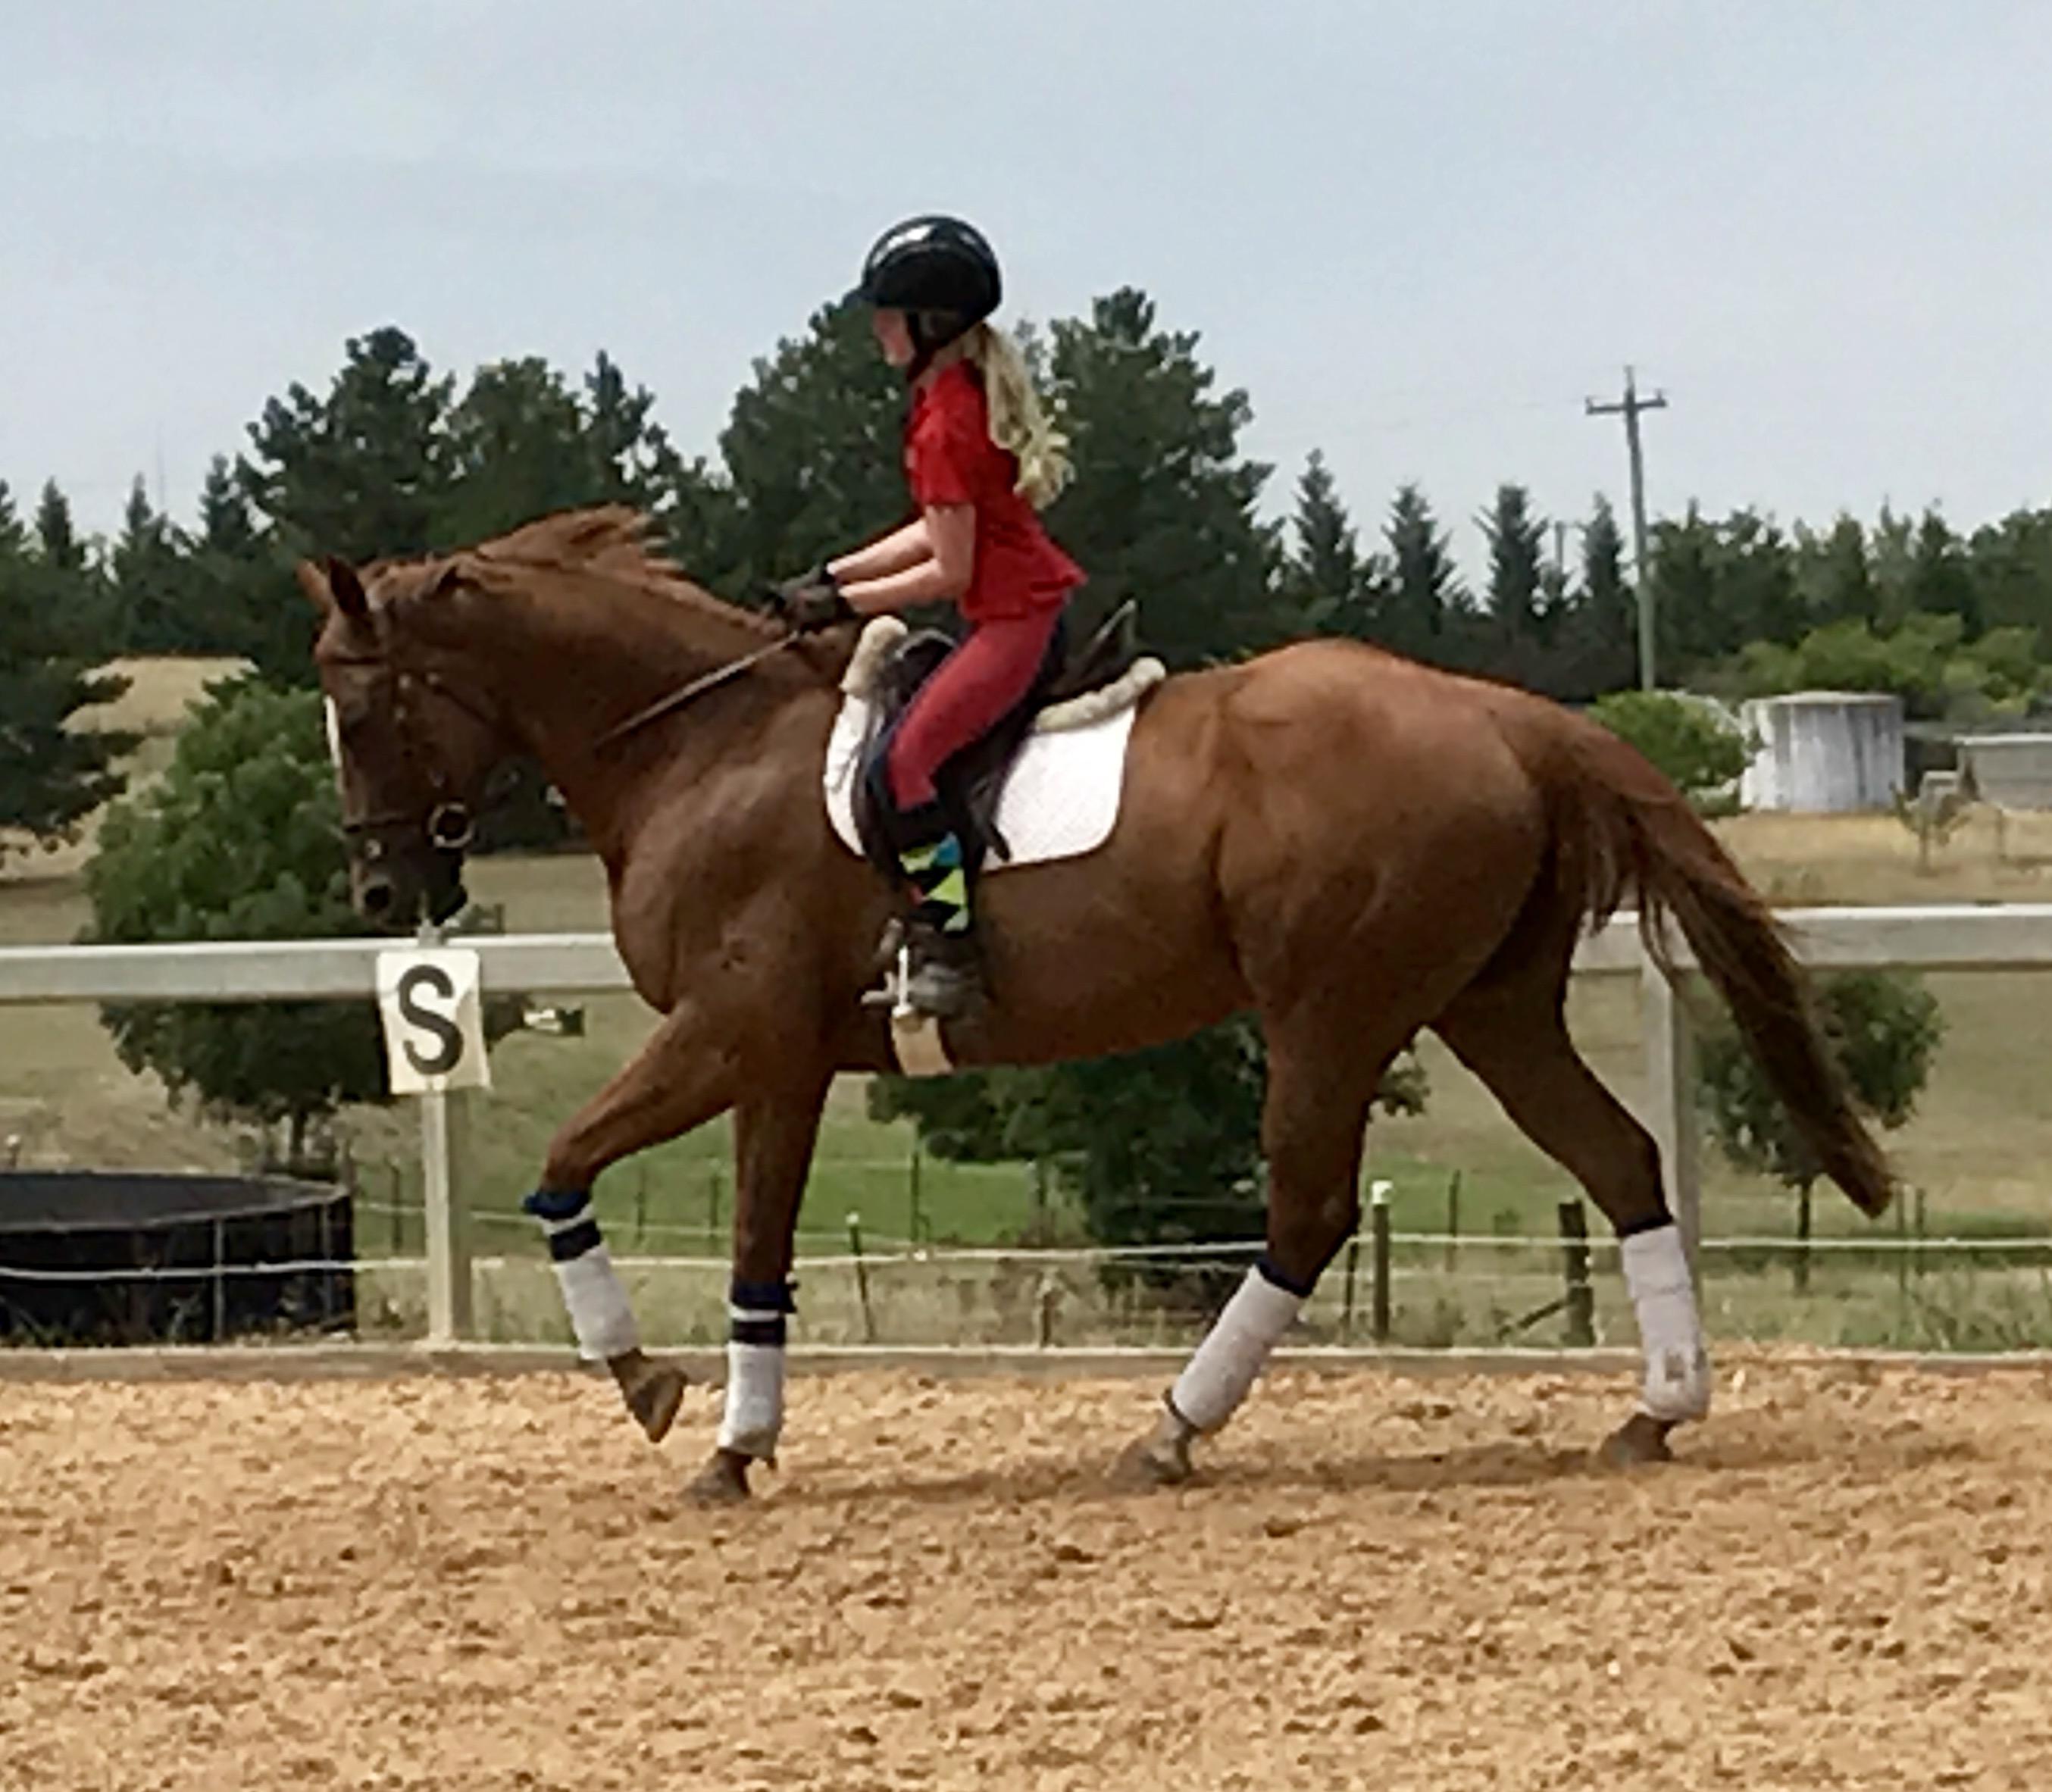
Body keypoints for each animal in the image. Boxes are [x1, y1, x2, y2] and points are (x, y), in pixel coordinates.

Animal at [305, 506, 1892, 1502]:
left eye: (363, 707)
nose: (380, 889)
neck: (705, 745)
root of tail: (1503, 715)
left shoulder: (728, 1030)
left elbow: (564, 1168)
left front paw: (644, 1382)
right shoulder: (785, 1059)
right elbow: (758, 1250)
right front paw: (736, 1447)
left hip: (1332, 1010)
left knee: (1309, 1212)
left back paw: (1173, 1432)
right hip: (1487, 1006)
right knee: (1618, 1162)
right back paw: (1656, 1409)